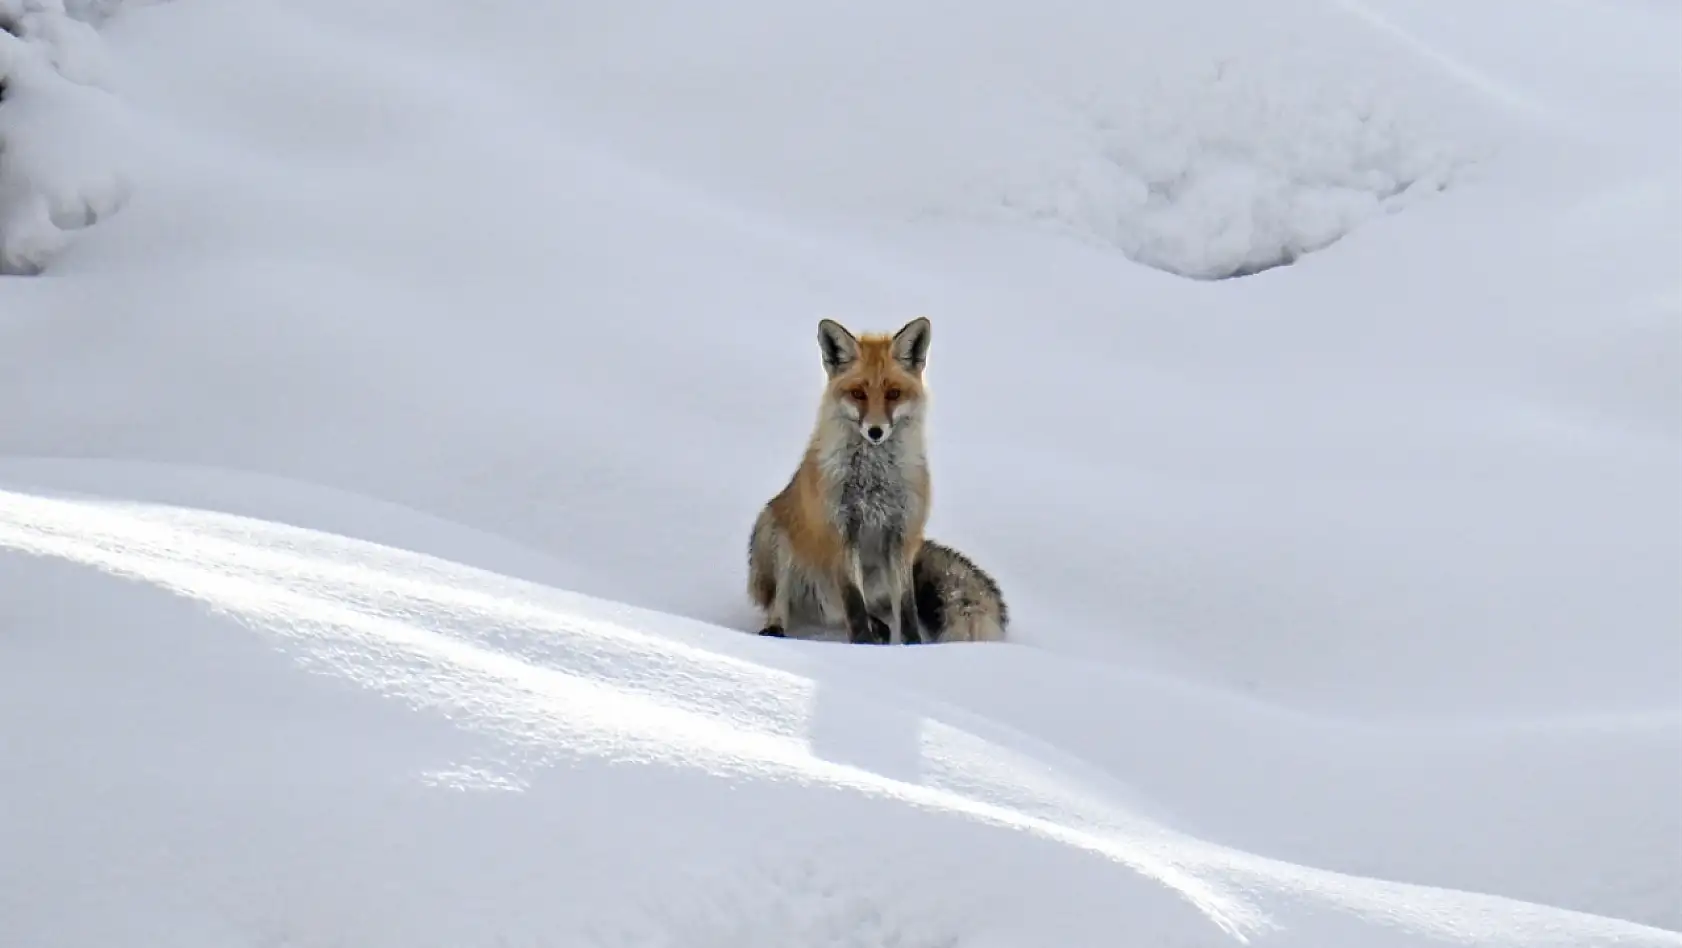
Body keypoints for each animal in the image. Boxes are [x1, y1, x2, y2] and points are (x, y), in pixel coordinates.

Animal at [750, 316, 1009, 645]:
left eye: (893, 394)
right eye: (858, 394)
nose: (875, 431)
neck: (874, 482)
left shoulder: (901, 535)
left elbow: (906, 607)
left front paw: (912, 647)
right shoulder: (842, 531)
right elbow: (854, 604)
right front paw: (862, 645)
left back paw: (881, 629)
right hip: (774, 535)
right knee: (784, 601)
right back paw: (776, 629)